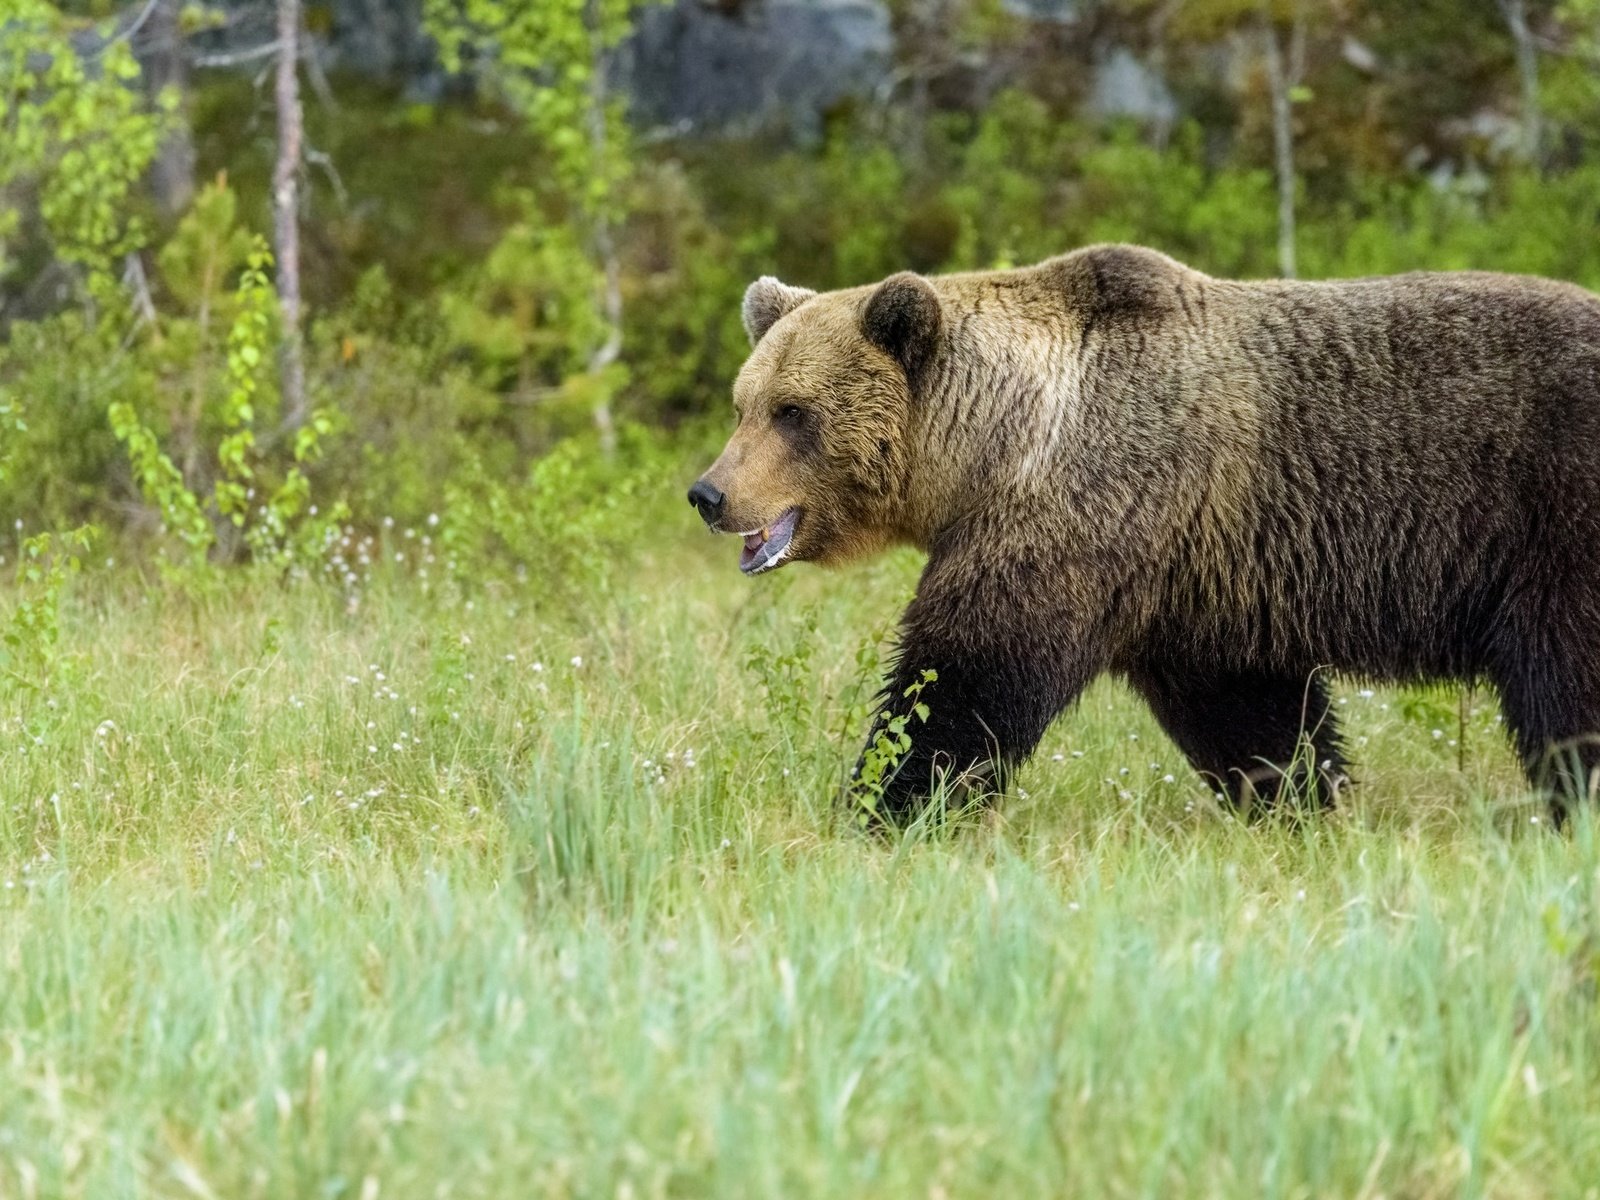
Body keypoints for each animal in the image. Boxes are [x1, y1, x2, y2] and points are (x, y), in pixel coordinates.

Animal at [684, 244, 1600, 825]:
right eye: (743, 404)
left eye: (793, 412)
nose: (709, 493)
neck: (989, 450)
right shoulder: (1199, 575)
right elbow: (1249, 710)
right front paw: (1302, 801)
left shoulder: (1089, 511)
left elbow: (968, 676)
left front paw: (887, 803)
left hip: (1558, 517)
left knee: (1566, 678)